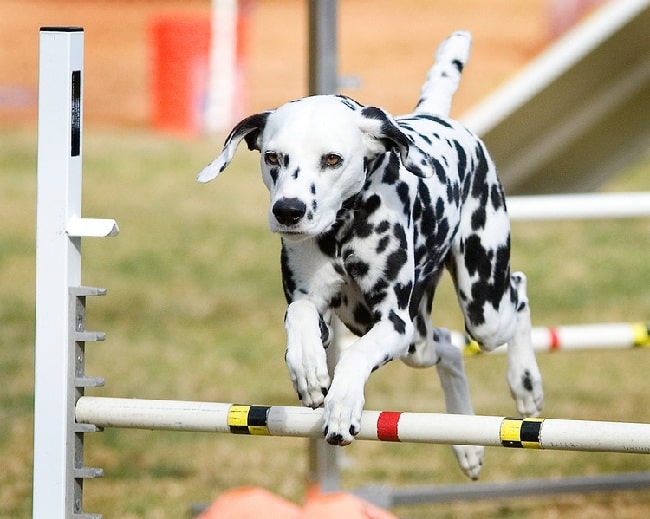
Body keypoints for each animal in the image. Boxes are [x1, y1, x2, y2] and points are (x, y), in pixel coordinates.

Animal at [196, 31, 540, 480]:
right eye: (273, 157)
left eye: (332, 159)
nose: (288, 210)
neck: (342, 231)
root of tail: (435, 117)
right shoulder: (324, 311)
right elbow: (299, 317)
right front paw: (307, 369)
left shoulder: (393, 322)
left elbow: (355, 358)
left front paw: (342, 406)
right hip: (414, 340)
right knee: (447, 346)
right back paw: (467, 444)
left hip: (484, 308)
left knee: (517, 290)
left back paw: (525, 383)